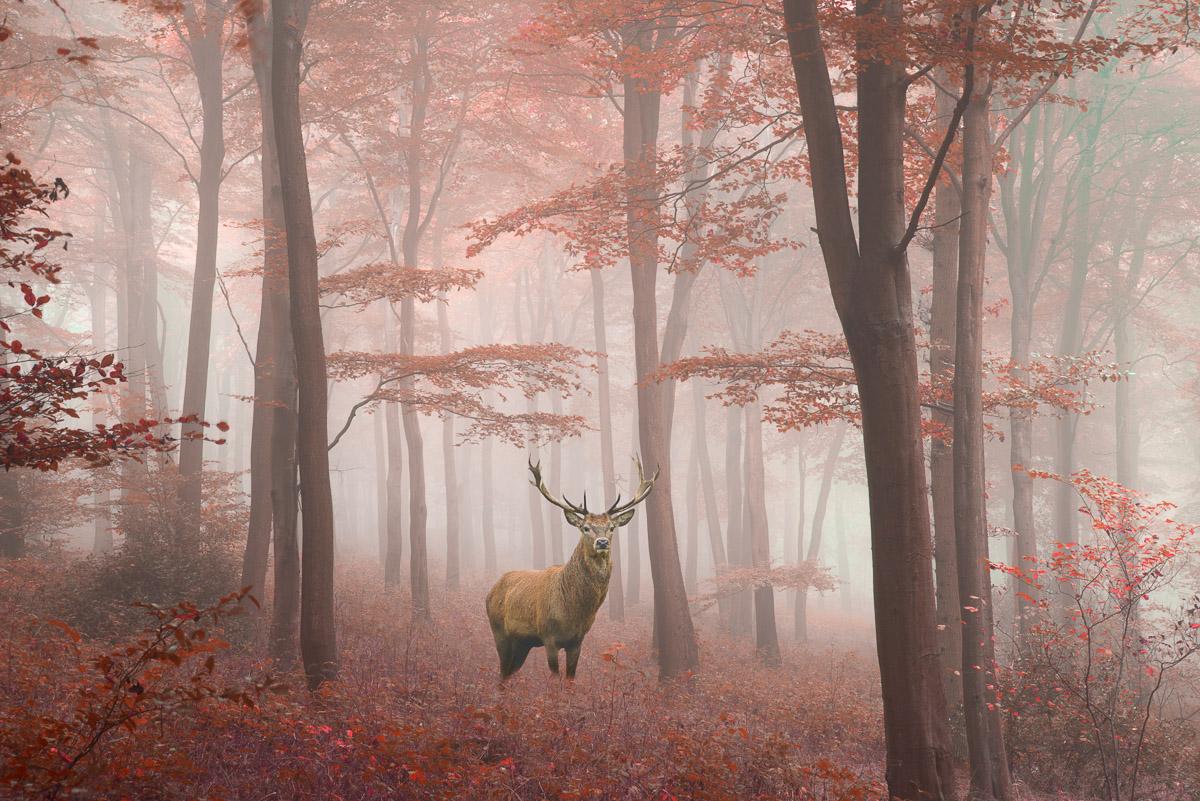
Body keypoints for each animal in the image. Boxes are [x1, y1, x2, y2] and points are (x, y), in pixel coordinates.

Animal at [485, 457, 658, 681]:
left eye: (611, 528)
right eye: (585, 527)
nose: (602, 542)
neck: (574, 611)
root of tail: (490, 591)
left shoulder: (577, 640)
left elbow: (570, 678)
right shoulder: (548, 635)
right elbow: (554, 677)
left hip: (523, 643)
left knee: (508, 673)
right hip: (499, 631)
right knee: (502, 672)